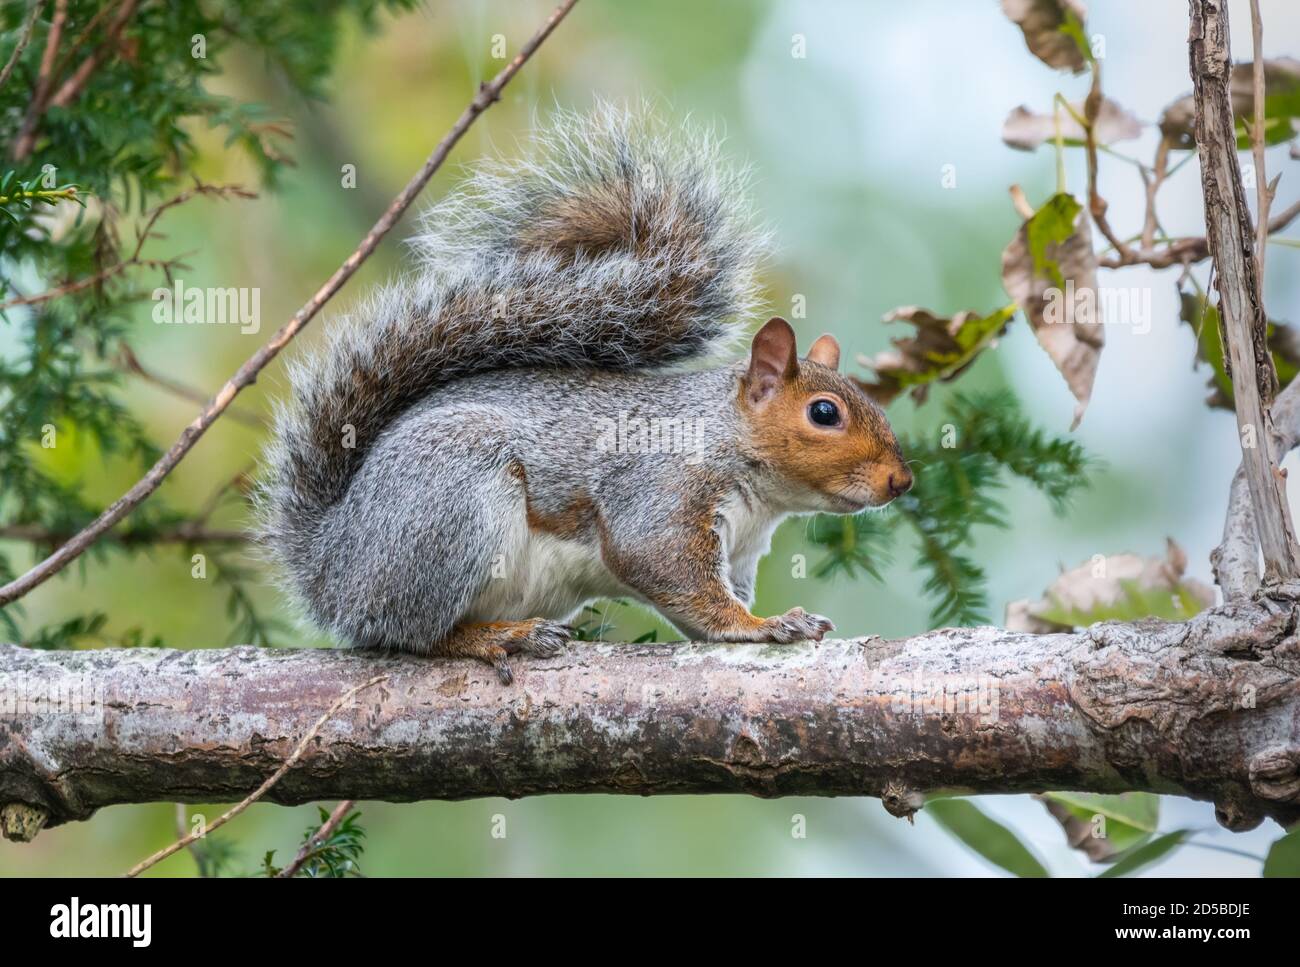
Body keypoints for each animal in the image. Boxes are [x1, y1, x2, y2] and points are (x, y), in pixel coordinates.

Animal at [258, 103, 909, 681]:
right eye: (824, 412)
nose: (901, 481)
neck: (754, 483)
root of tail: (330, 565)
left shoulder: (741, 550)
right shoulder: (658, 490)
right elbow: (669, 572)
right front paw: (762, 626)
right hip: (450, 503)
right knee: (410, 632)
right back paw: (496, 638)